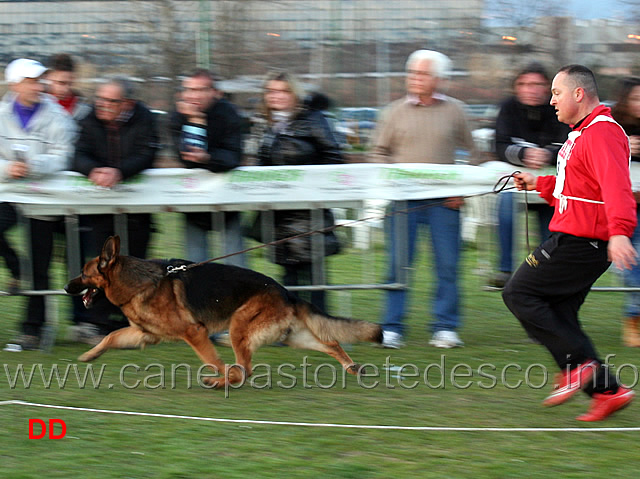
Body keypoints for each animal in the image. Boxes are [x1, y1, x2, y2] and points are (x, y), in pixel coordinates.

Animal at [64, 236, 382, 390]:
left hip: (239, 326)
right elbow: (111, 337)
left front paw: (221, 375)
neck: (140, 282)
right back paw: (352, 367)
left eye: (84, 273)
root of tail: (285, 292)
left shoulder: (194, 332)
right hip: (293, 337)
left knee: (245, 369)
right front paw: (90, 355)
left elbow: (214, 361)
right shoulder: (144, 335)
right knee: (331, 342)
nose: (66, 287)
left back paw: (220, 382)